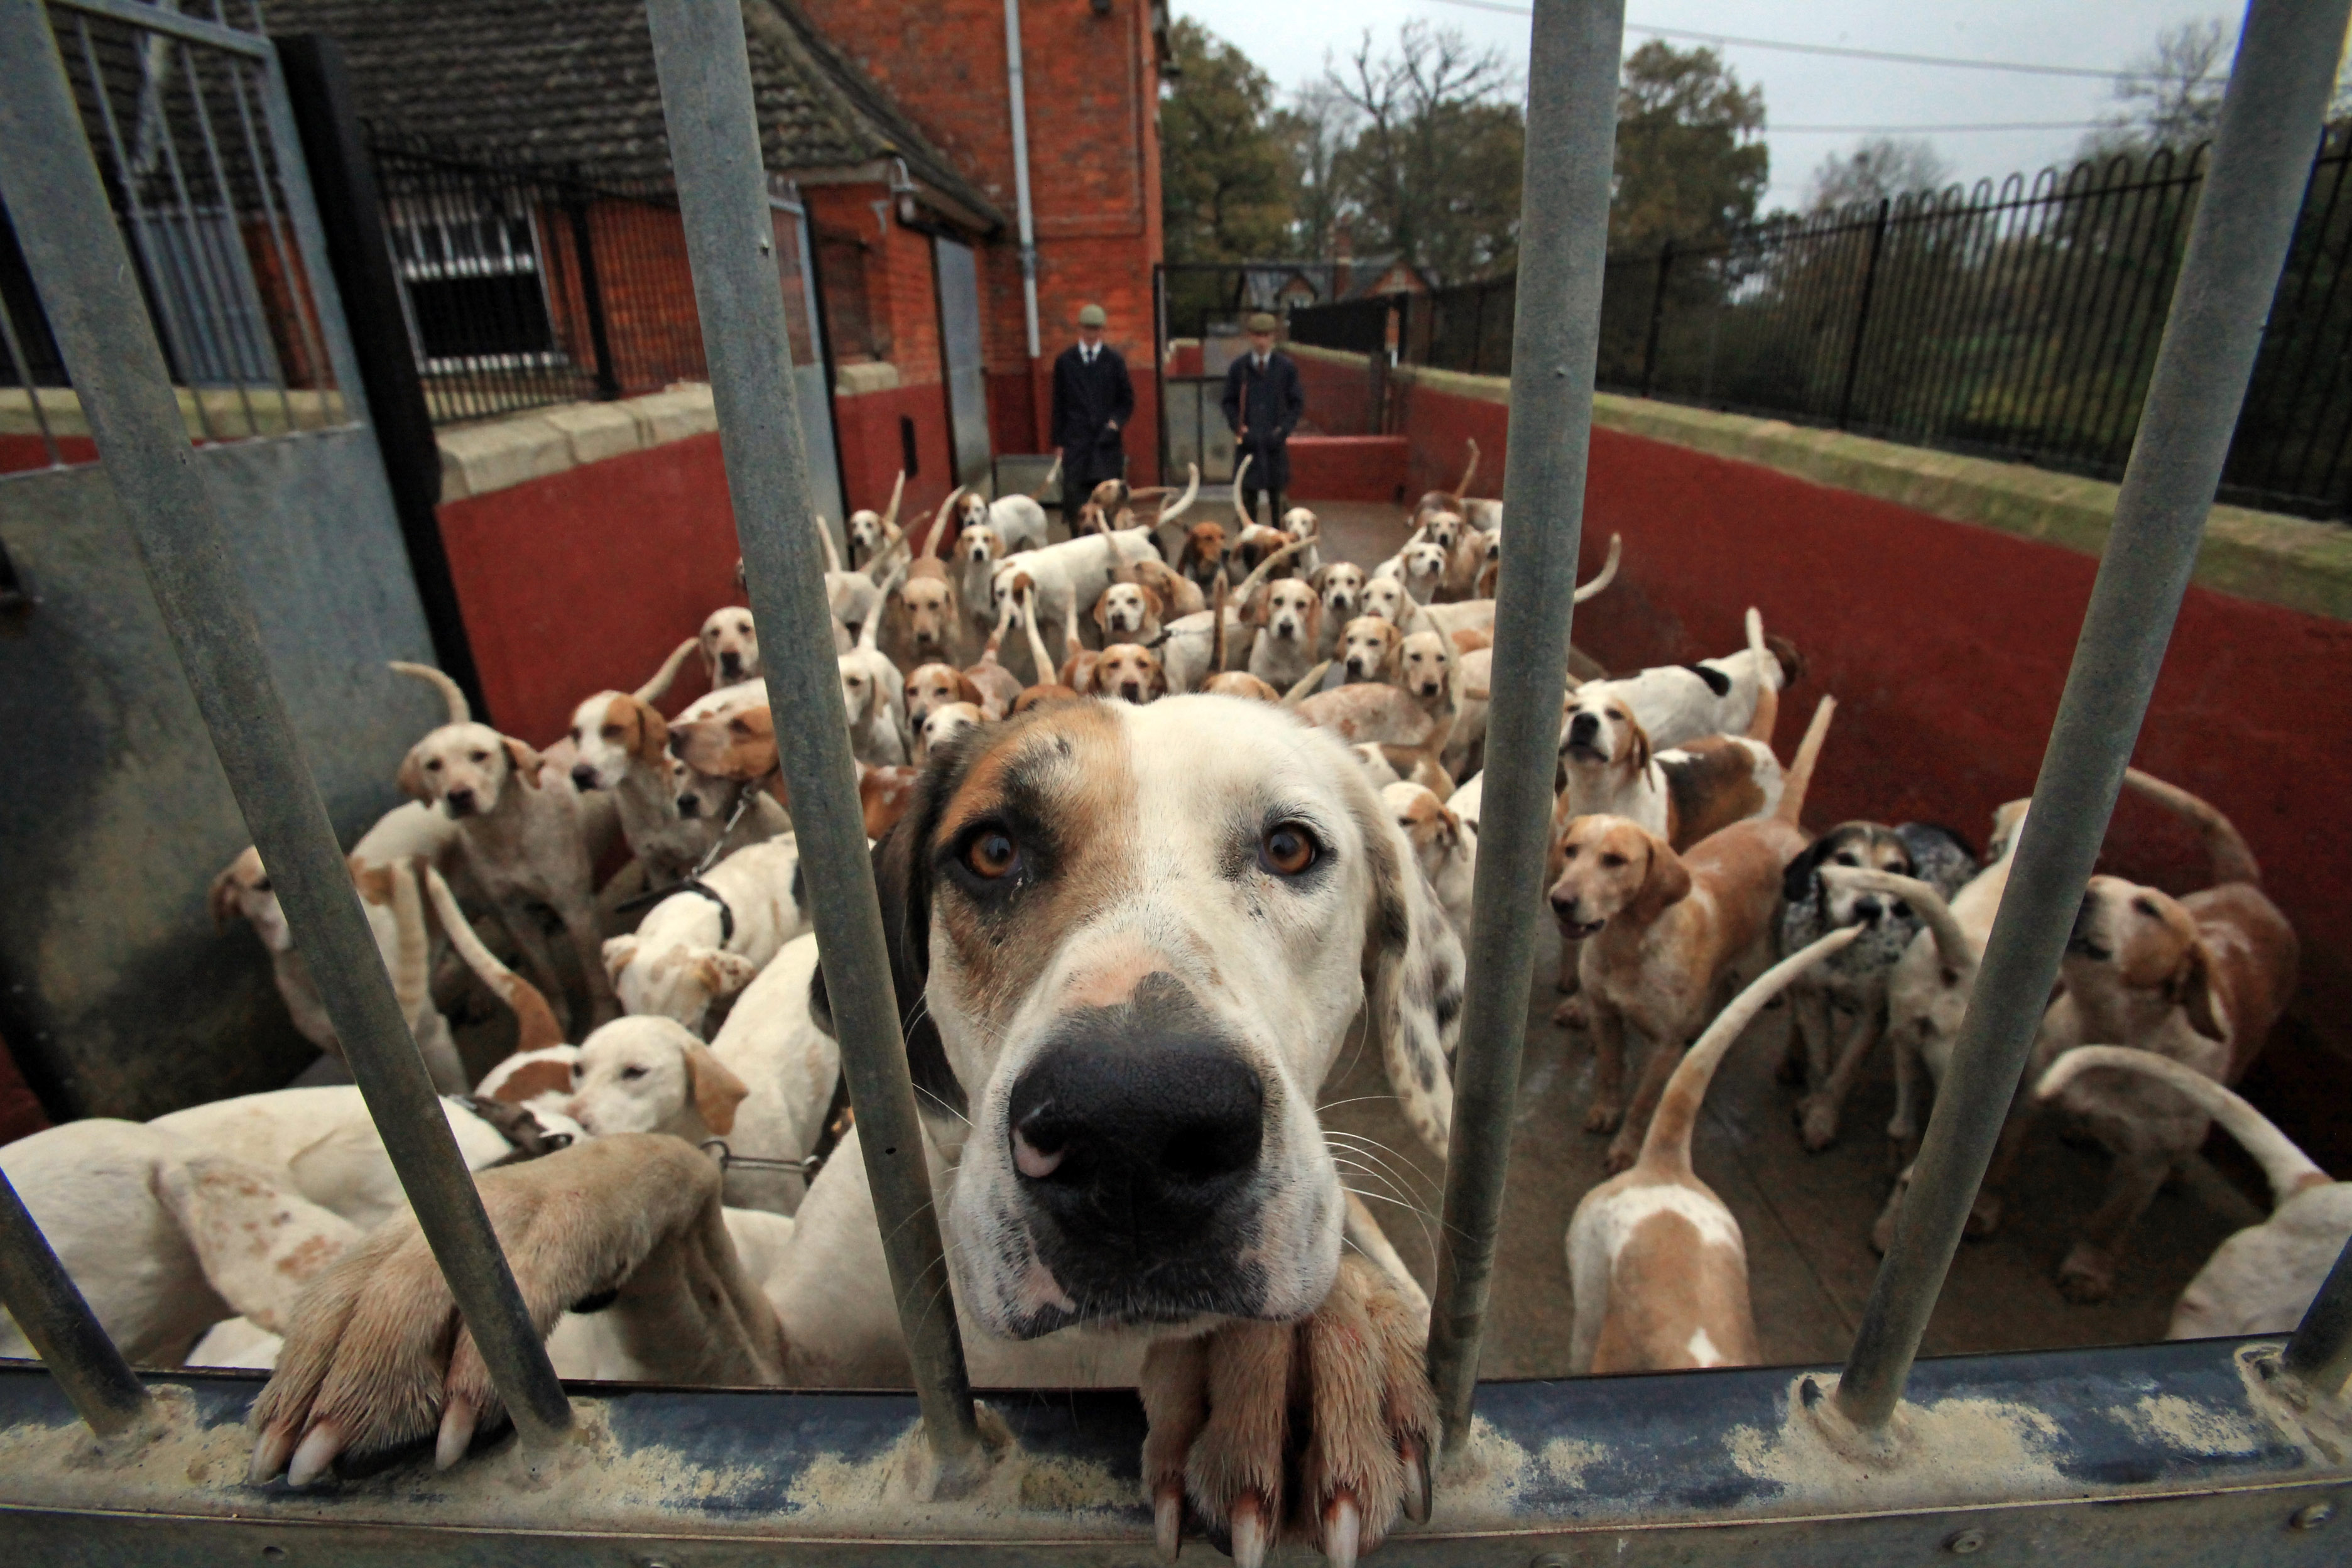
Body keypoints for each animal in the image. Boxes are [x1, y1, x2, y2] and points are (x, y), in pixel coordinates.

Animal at [1552, 695, 1844, 1166]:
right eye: (1573, 706)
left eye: (1616, 715)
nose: (1585, 721)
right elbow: (1609, 1071)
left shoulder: (1664, 1047)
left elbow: (1643, 1104)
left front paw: (1627, 1150)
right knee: (1725, 981)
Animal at [1768, 822, 1975, 1152]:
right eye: (1846, 859)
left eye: (1894, 870)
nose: (1869, 908)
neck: (1843, 952)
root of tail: (1944, 829)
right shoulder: (1813, 999)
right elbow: (1820, 1064)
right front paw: (1812, 1101)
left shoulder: (1872, 1016)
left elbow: (1843, 1072)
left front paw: (1821, 1118)